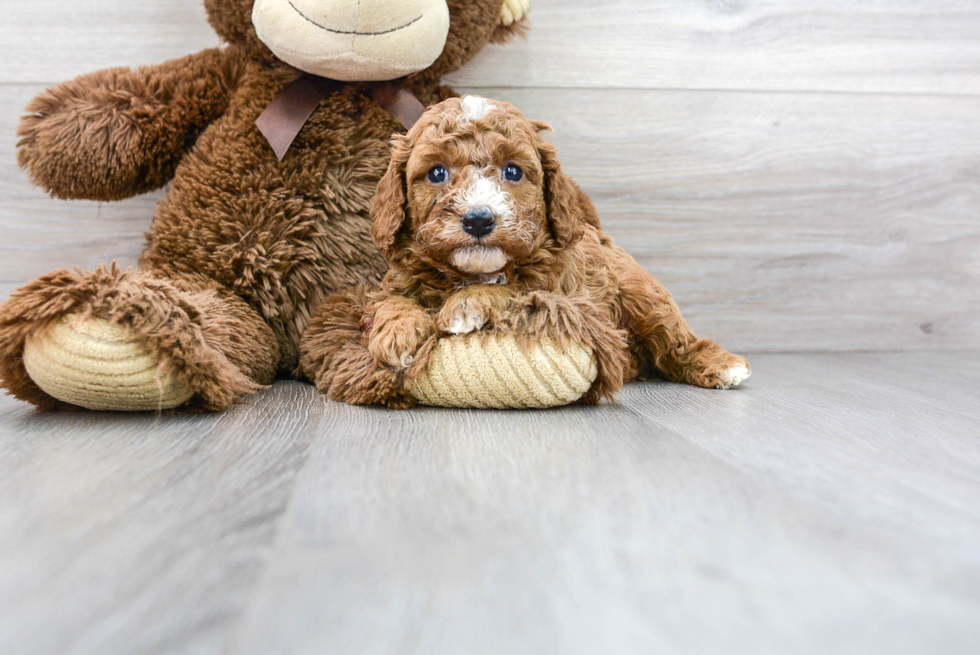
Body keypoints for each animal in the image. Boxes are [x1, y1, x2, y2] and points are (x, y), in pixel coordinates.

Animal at [302, 95, 756, 408]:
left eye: (513, 171)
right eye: (437, 173)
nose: (478, 219)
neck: (472, 271)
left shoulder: (564, 291)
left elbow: (513, 289)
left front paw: (467, 305)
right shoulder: (394, 281)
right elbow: (390, 302)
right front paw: (398, 333)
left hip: (643, 295)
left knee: (674, 340)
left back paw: (720, 365)